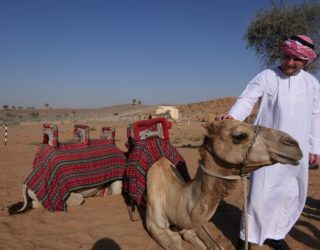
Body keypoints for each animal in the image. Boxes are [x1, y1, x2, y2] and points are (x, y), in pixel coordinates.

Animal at [145, 119, 302, 250]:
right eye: (239, 136)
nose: (292, 144)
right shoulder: (155, 226)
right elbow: (176, 241)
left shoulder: (191, 223)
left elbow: (210, 242)